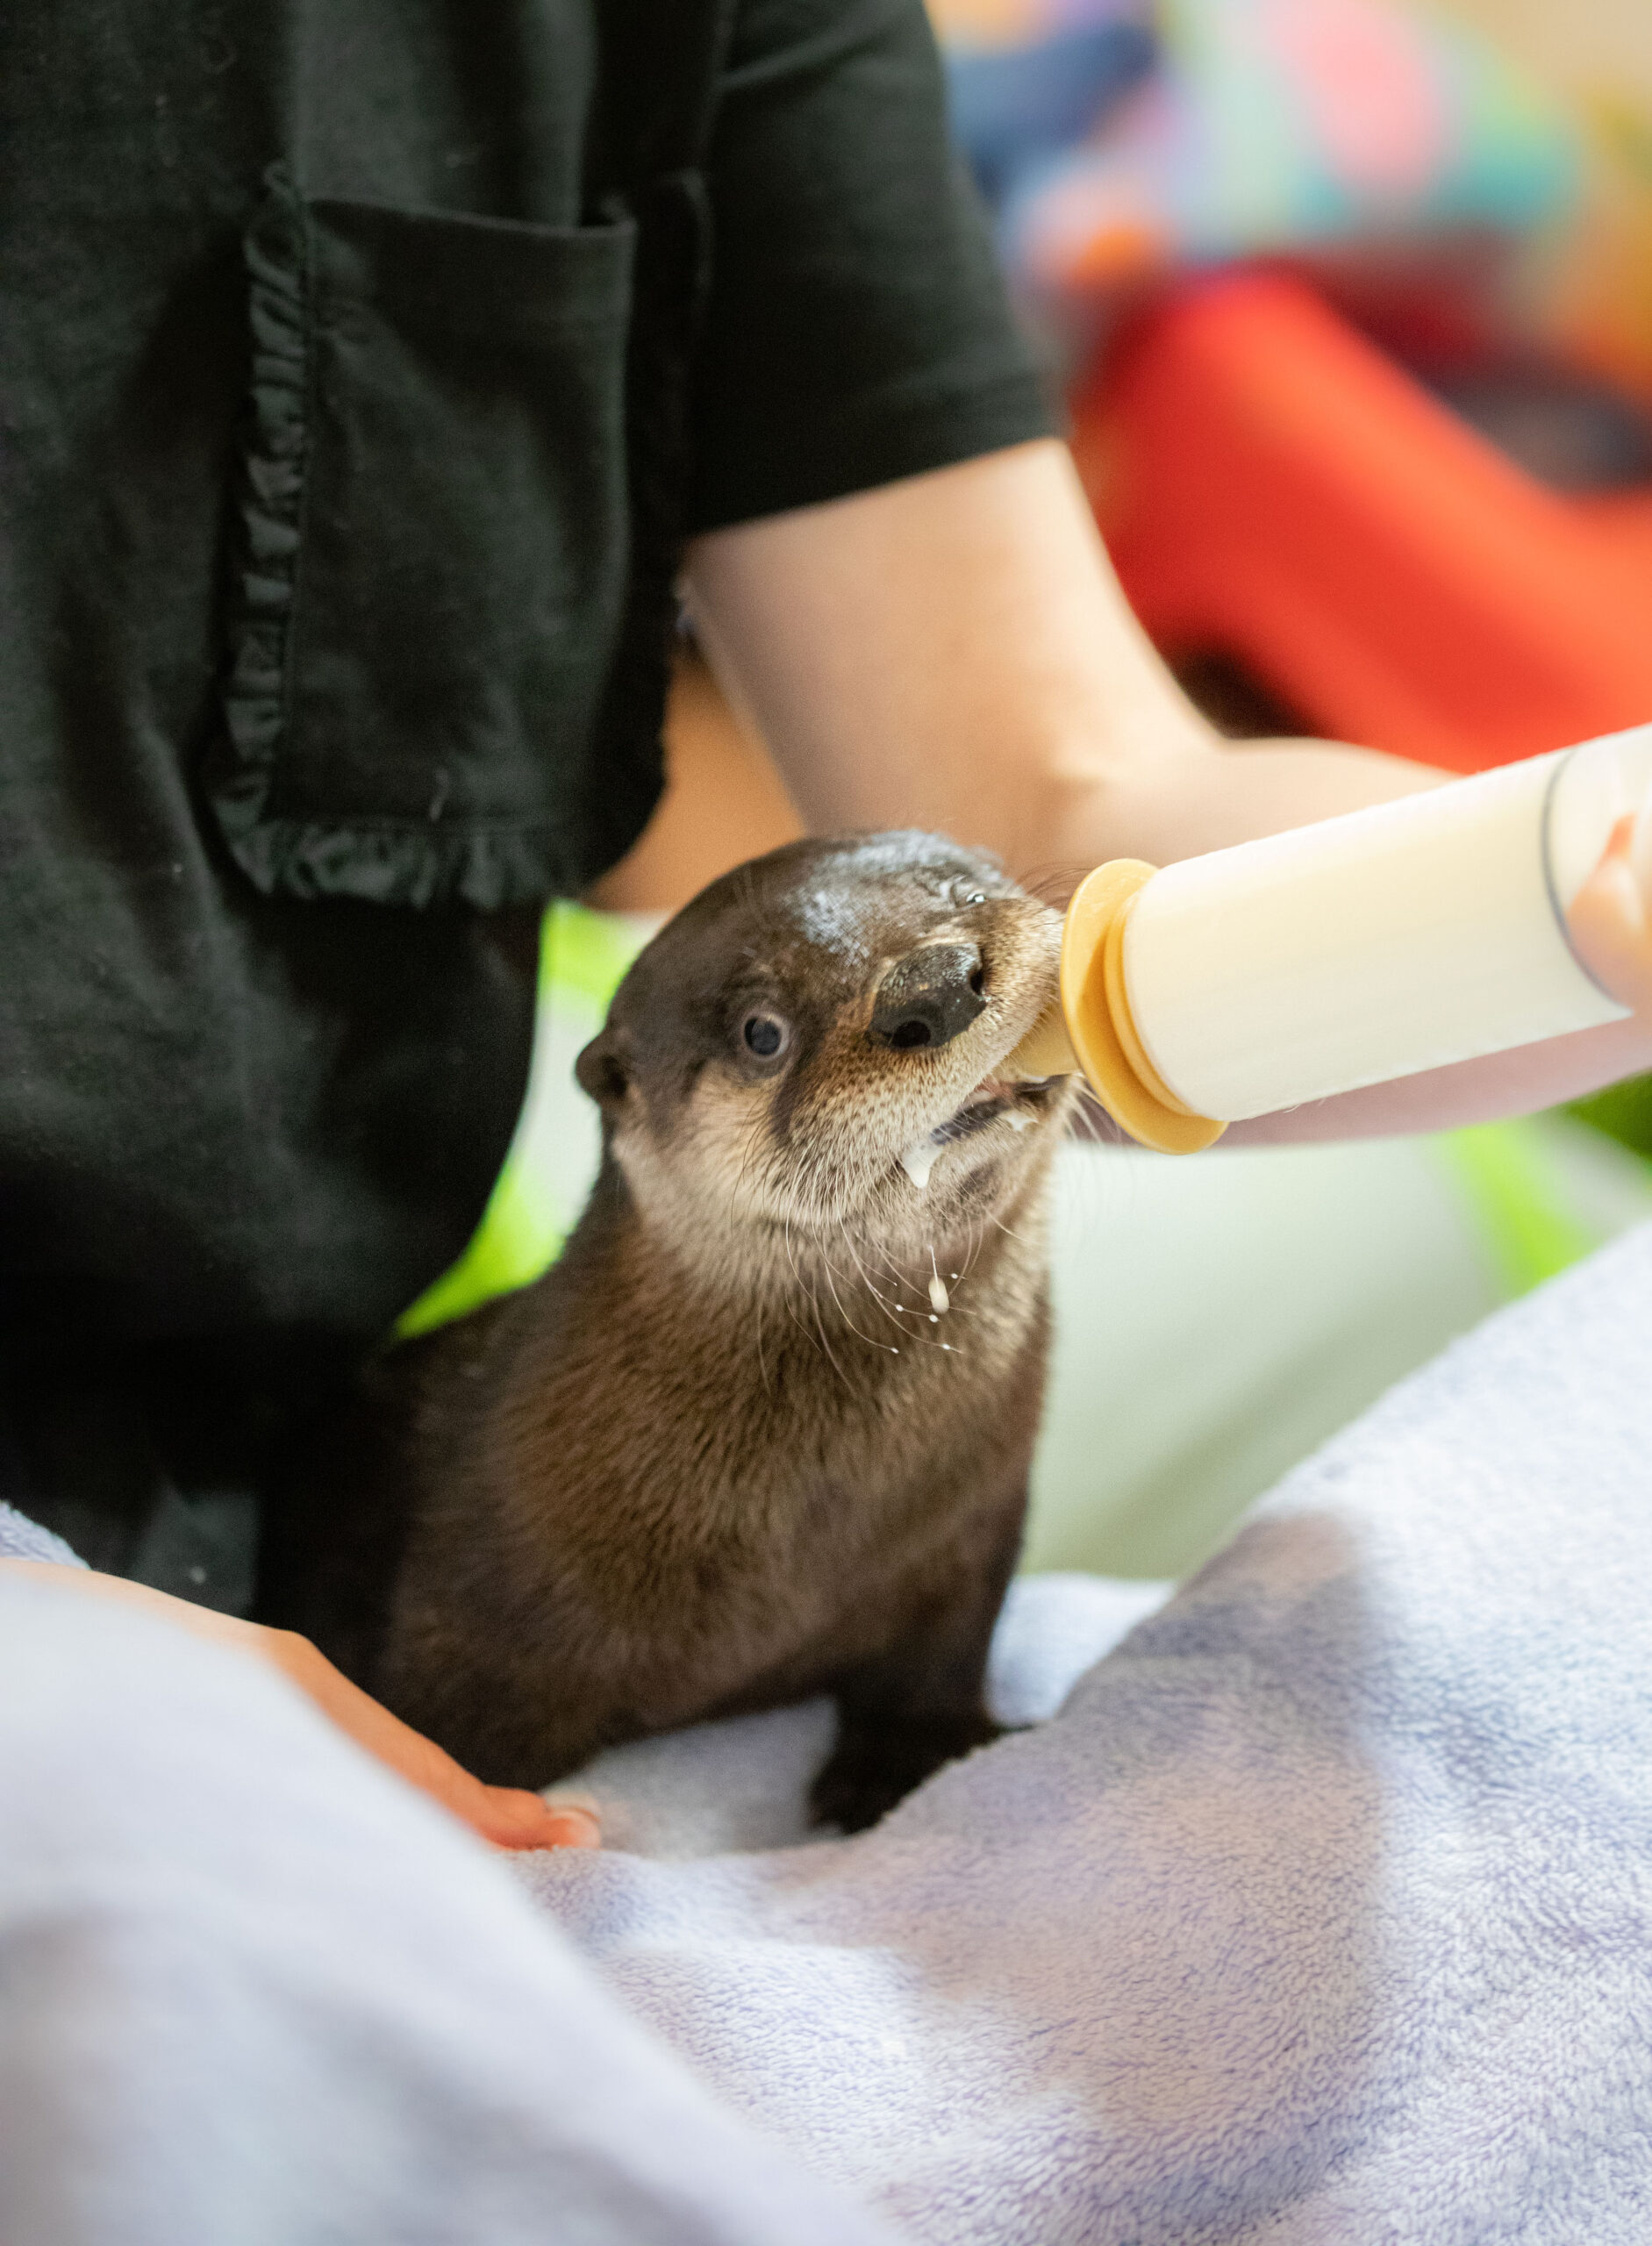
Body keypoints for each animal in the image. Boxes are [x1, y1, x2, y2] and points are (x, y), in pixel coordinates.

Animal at [267, 833, 1078, 1833]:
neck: (808, 1526)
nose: (928, 988)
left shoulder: (971, 1529)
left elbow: (942, 1655)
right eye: (761, 1033)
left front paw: (902, 1761)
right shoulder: (463, 1626)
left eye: (954, 887)